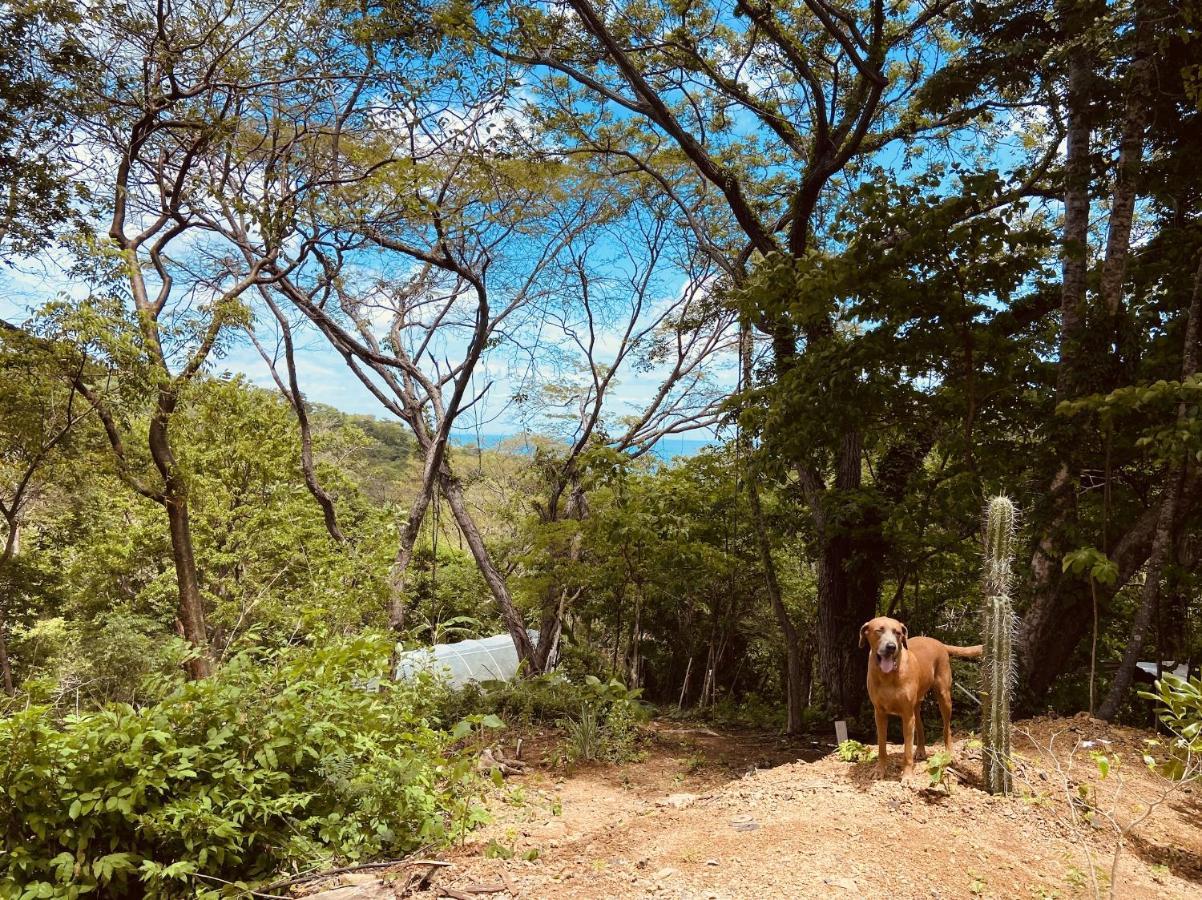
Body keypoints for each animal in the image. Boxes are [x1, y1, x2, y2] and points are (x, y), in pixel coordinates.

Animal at [860, 615, 980, 773]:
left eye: (898, 633)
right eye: (879, 630)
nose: (891, 647)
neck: (888, 675)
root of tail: (939, 642)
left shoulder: (906, 714)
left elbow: (907, 750)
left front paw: (907, 775)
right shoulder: (879, 713)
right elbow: (881, 745)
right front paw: (880, 769)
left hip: (944, 696)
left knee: (946, 728)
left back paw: (949, 753)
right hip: (916, 704)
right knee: (920, 725)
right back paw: (921, 750)